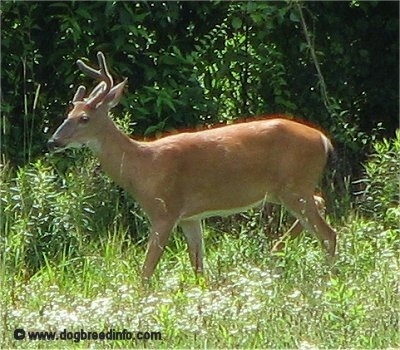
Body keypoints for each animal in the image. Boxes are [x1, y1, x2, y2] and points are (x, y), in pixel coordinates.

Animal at [47, 51, 338, 282]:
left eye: (84, 118)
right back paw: (276, 252)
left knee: (329, 233)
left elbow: (146, 270)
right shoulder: (190, 217)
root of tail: (323, 140)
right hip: (284, 190)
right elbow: (198, 267)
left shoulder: (165, 210)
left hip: (295, 185)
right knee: (320, 205)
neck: (142, 165)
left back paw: (327, 277)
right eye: (68, 114)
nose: (53, 141)